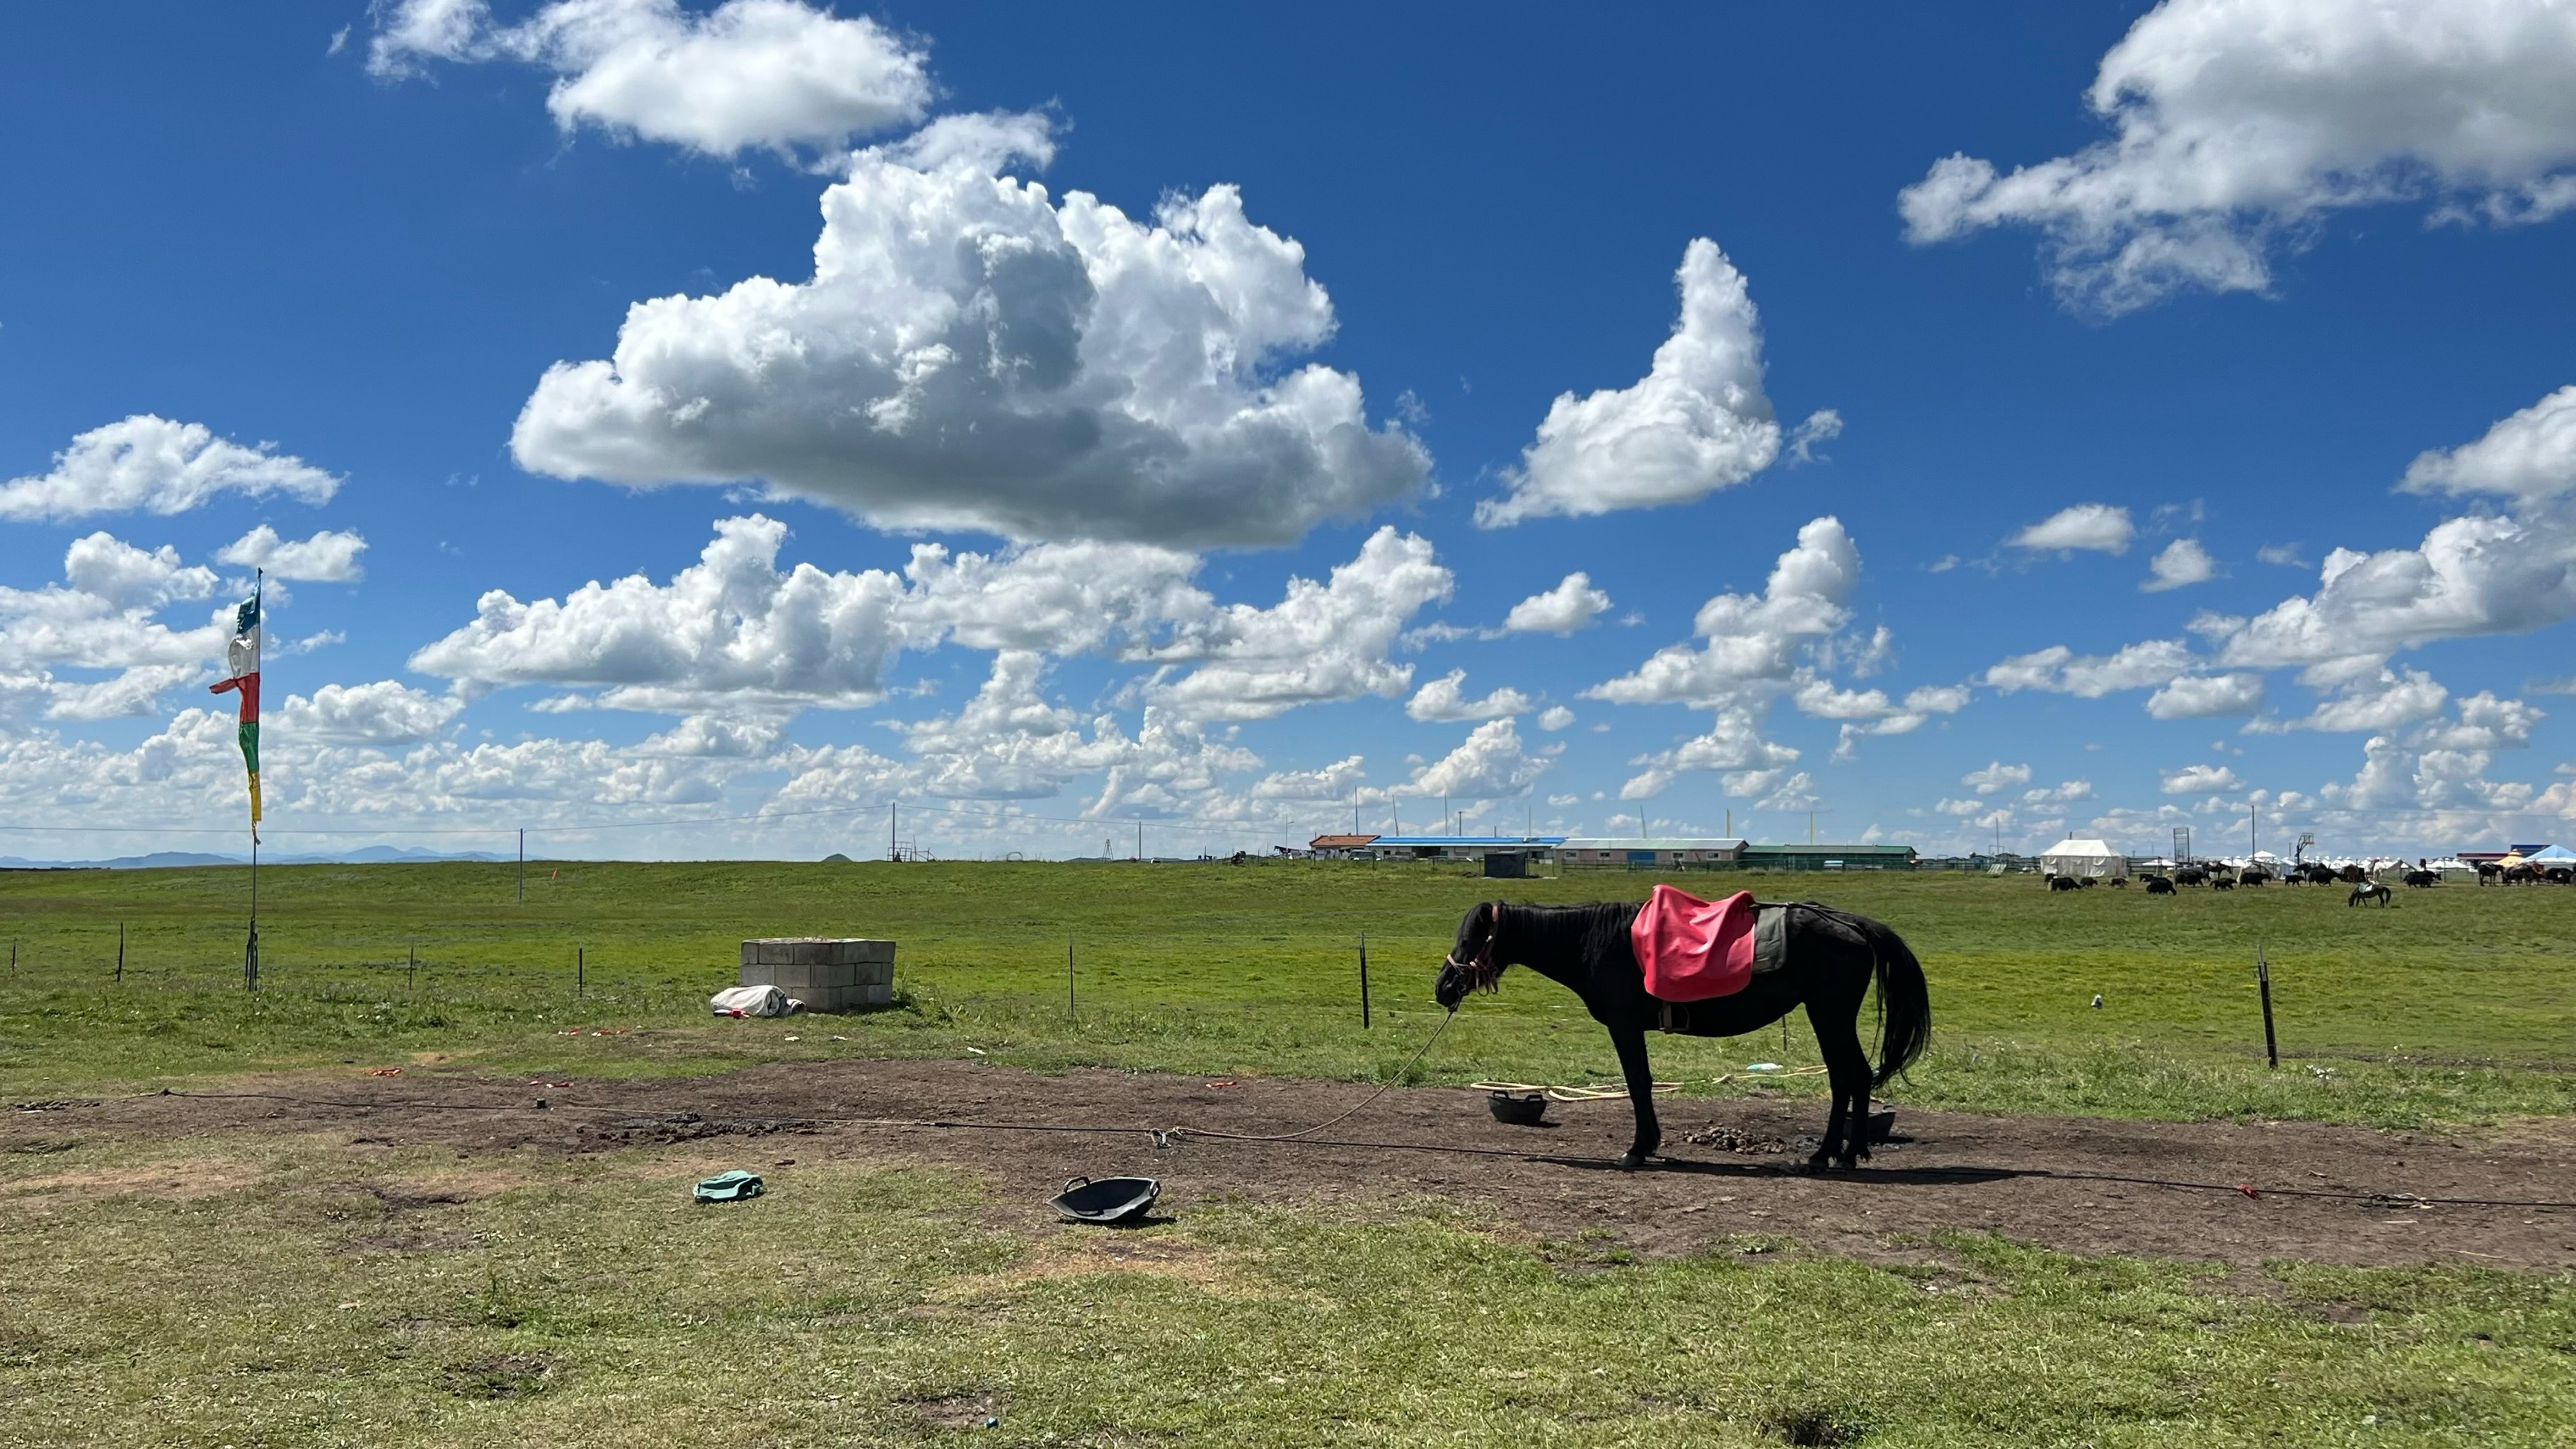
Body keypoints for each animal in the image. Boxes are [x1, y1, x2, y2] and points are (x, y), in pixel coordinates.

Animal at [1442, 901, 1926, 1173]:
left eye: (1471, 938)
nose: (1443, 987)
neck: (1593, 940)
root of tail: (1851, 924)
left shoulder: (1624, 1025)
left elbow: (1638, 1083)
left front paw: (1638, 1149)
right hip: (1830, 1017)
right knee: (1851, 1077)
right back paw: (1839, 1153)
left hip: (1830, 1016)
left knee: (1849, 1077)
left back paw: (1833, 1155)